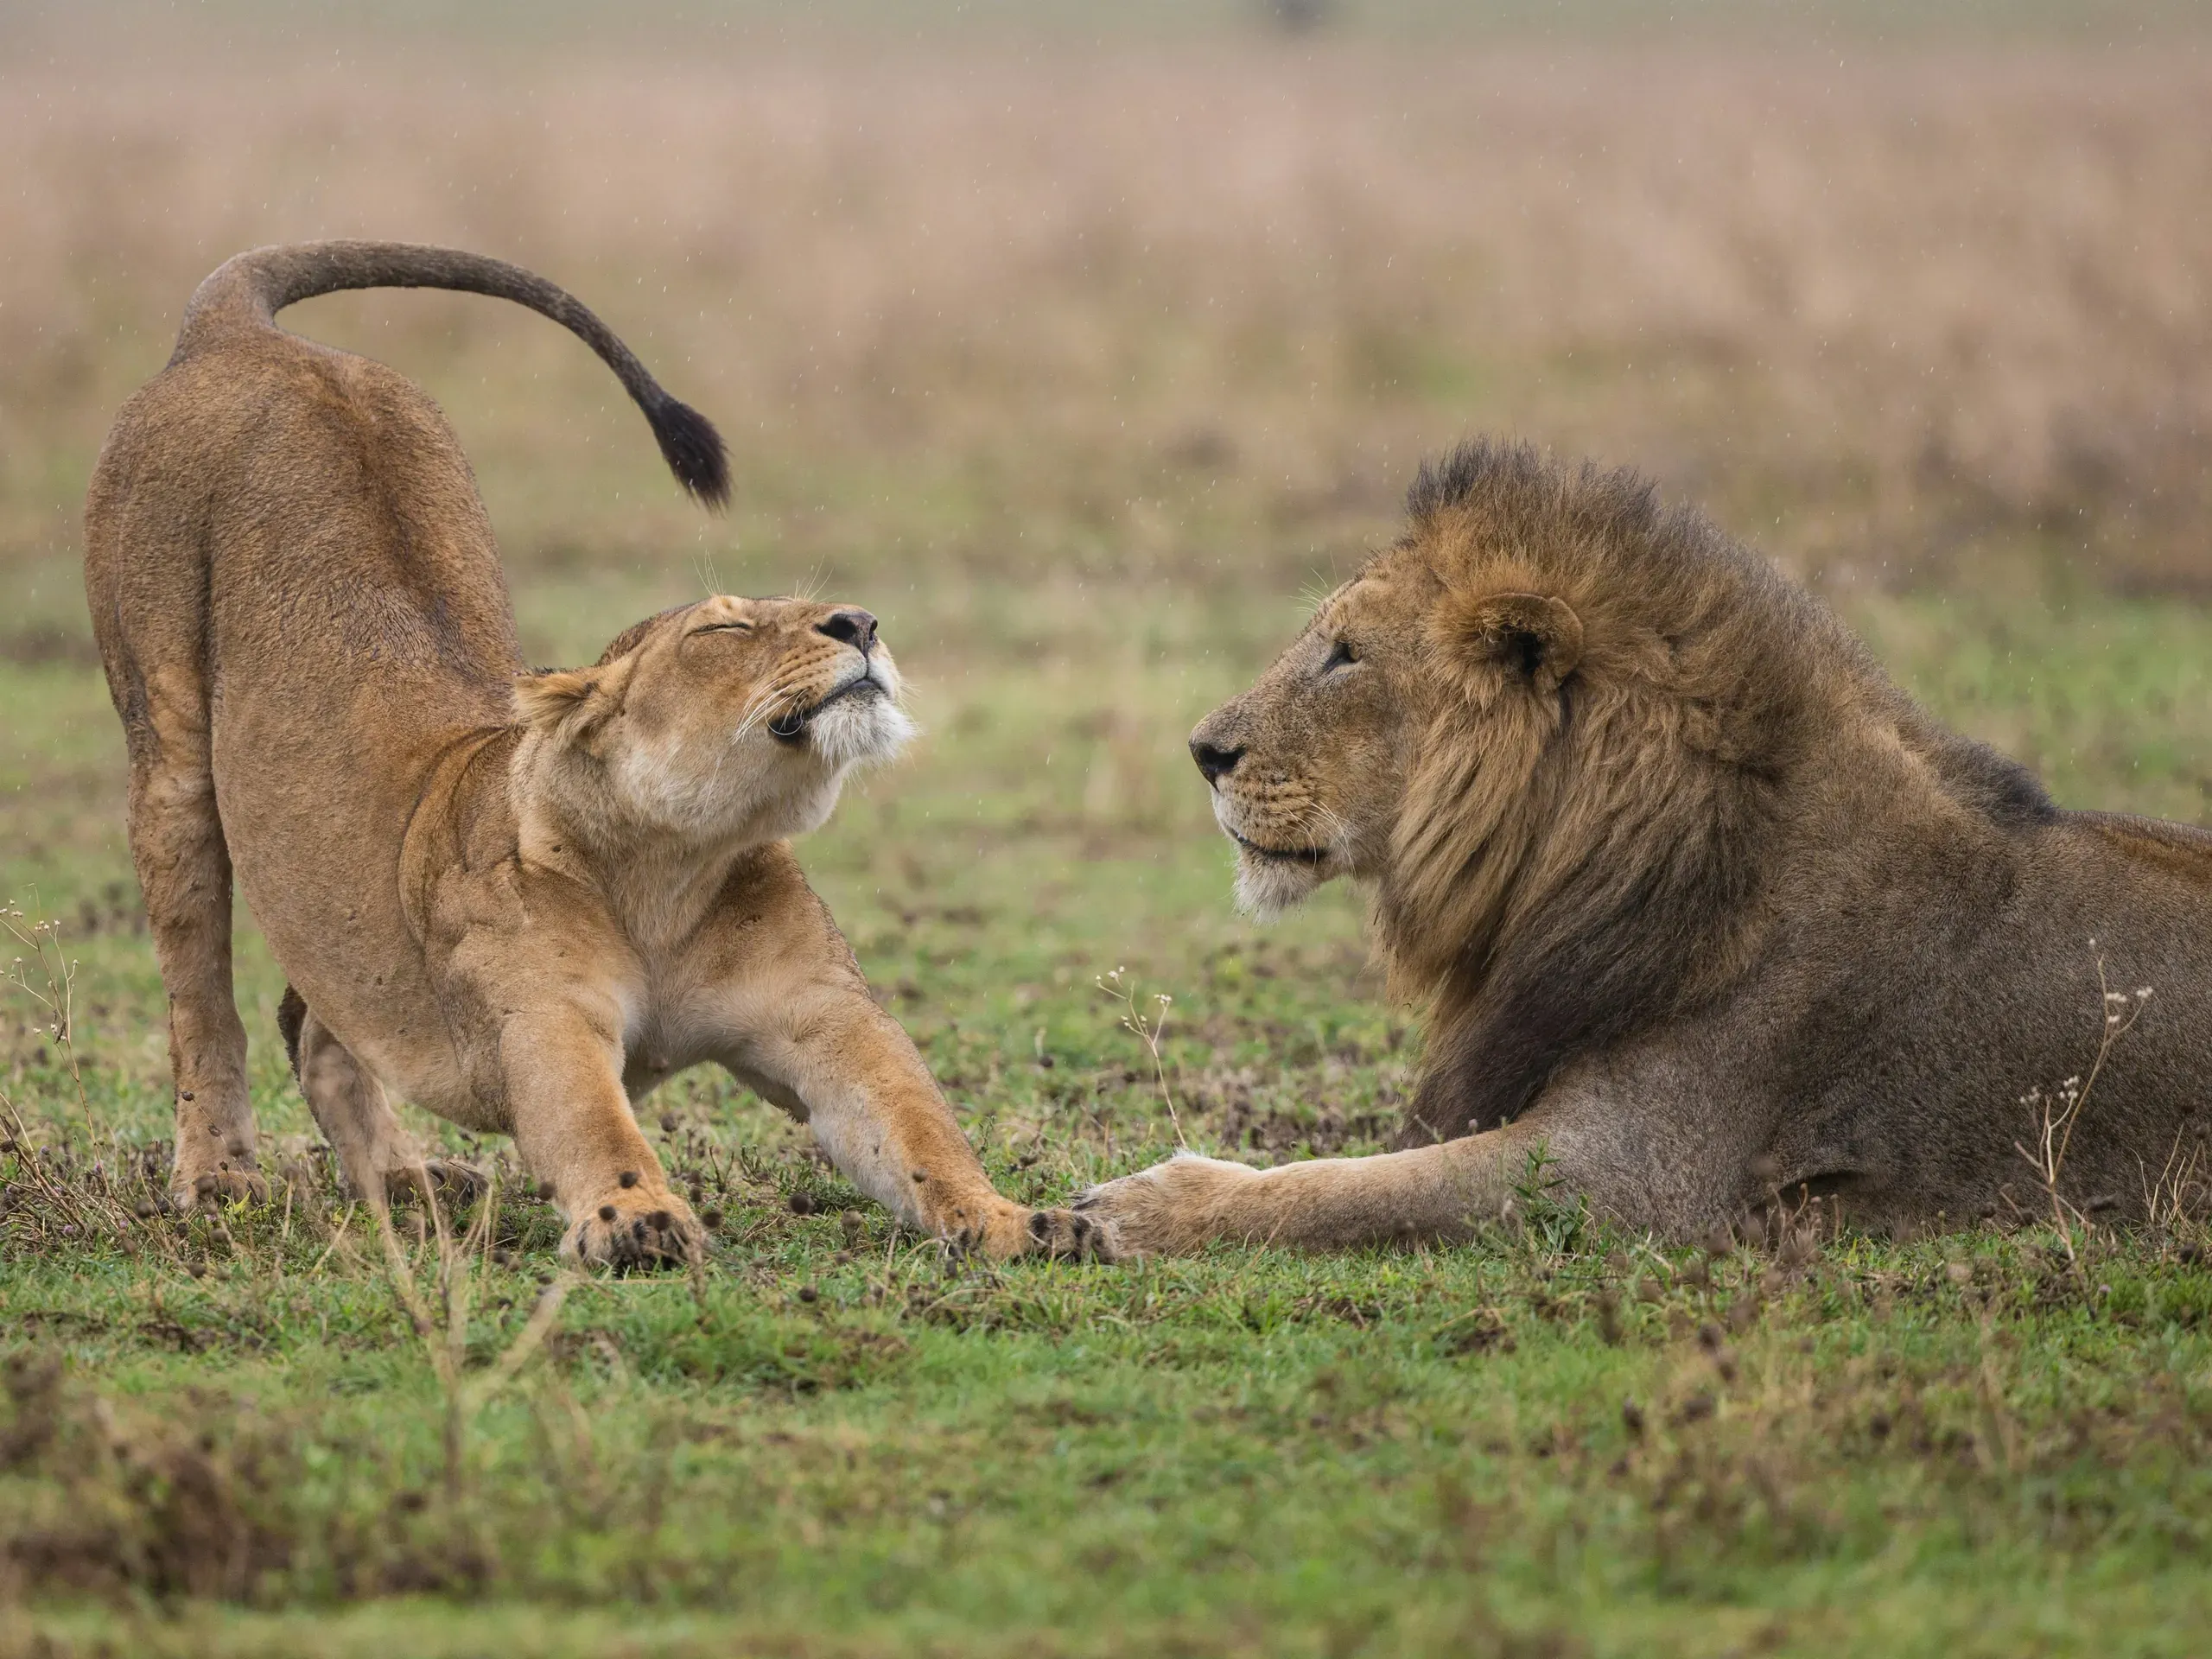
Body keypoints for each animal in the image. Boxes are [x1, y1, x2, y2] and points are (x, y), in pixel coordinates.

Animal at [84, 241, 1102, 1267]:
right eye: (726, 627)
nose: (861, 622)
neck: (672, 872)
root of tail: (243, 335)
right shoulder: (544, 1021)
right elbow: (591, 1124)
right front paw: (637, 1217)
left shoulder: (826, 1019)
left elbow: (918, 1129)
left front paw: (1018, 1219)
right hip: (168, 755)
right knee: (202, 998)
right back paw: (219, 1179)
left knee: (316, 1021)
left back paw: (405, 1179)